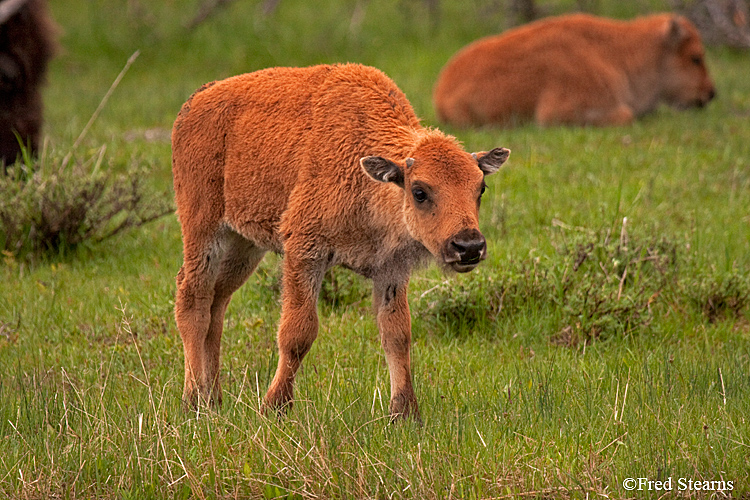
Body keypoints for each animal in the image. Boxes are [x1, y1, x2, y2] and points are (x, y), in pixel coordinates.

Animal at [172, 63, 512, 422]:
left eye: (480, 188)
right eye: (419, 191)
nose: (469, 246)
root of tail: (196, 101)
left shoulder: (391, 269)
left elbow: (397, 334)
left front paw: (405, 412)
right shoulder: (304, 251)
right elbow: (298, 332)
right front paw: (275, 407)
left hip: (244, 245)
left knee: (217, 304)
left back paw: (214, 398)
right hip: (204, 230)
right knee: (193, 300)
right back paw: (194, 400)